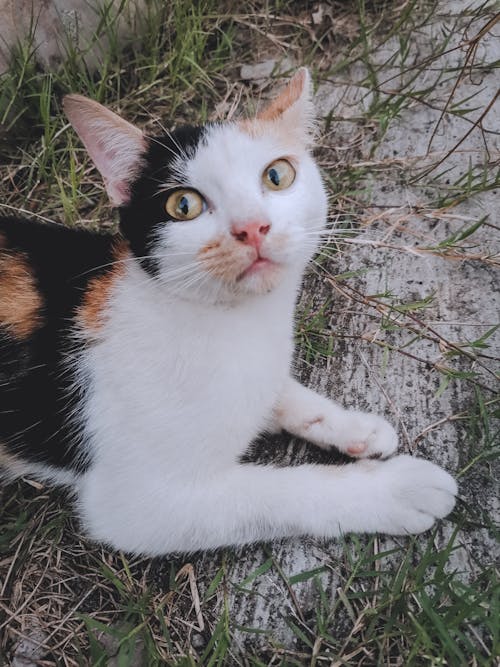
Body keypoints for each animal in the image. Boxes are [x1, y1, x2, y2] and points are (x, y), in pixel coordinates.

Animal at [0, 70, 458, 556]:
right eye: (183, 205)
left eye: (277, 175)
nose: (252, 227)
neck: (235, 322)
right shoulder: (136, 504)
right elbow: (277, 494)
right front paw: (393, 488)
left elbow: (280, 391)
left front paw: (354, 427)